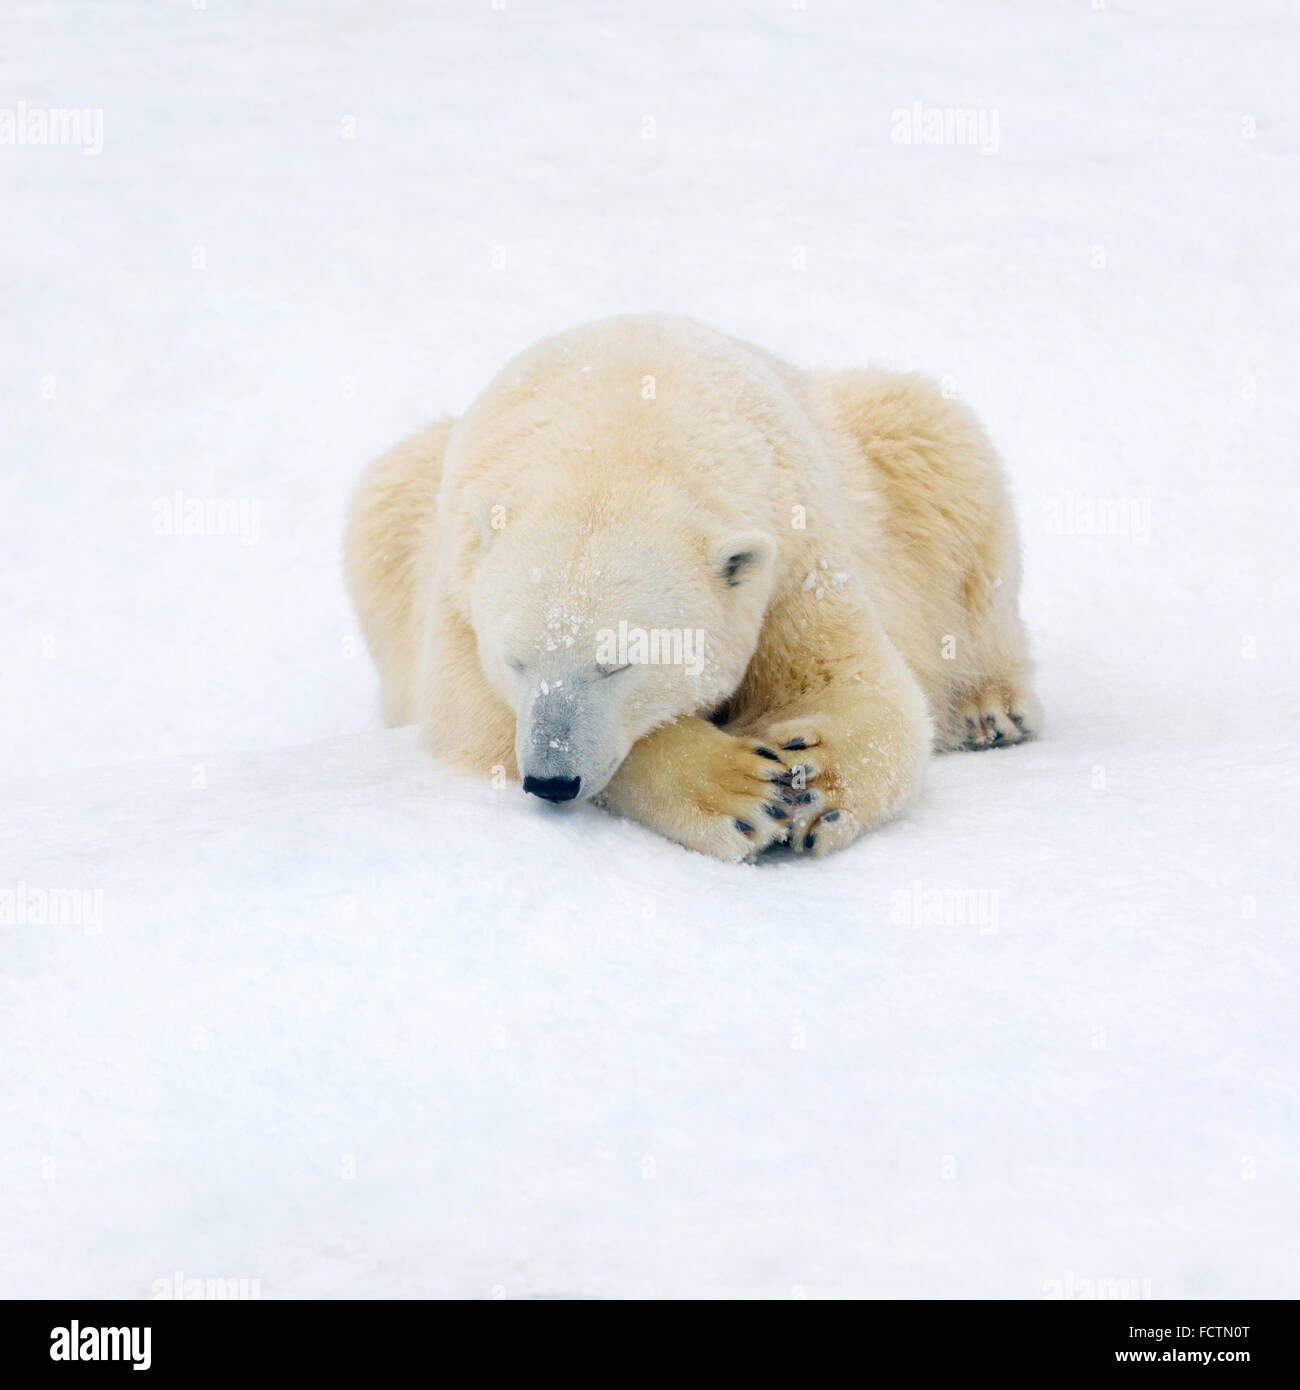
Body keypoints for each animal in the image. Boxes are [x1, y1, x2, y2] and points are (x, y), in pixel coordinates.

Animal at [346, 315, 1034, 856]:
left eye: (619, 663)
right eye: (514, 660)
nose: (551, 780)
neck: (621, 439)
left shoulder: (797, 551)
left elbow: (857, 683)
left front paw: (813, 782)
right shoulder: (458, 585)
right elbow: (471, 715)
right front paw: (741, 792)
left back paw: (990, 709)